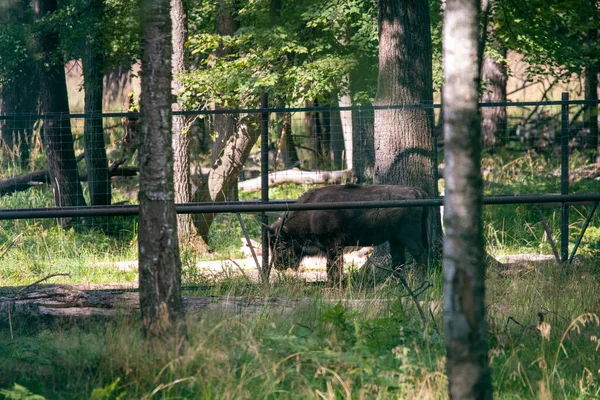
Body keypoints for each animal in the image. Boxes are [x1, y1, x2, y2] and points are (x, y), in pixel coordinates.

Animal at [266, 184, 426, 284]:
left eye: (280, 245)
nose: (278, 265)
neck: (309, 215)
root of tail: (418, 192)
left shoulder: (333, 246)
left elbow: (332, 266)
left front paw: (334, 283)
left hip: (410, 237)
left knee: (420, 255)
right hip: (395, 239)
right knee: (399, 261)